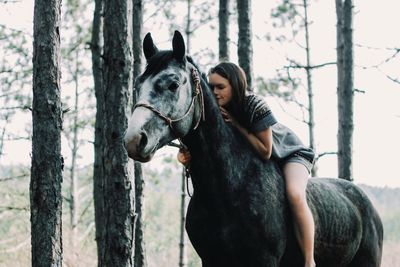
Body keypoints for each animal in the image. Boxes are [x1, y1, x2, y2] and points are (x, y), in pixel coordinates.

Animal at [125, 30, 384, 266]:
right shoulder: (211, 259)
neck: (228, 188)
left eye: (173, 84)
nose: (134, 139)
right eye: (137, 84)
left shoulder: (263, 259)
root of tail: (367, 204)